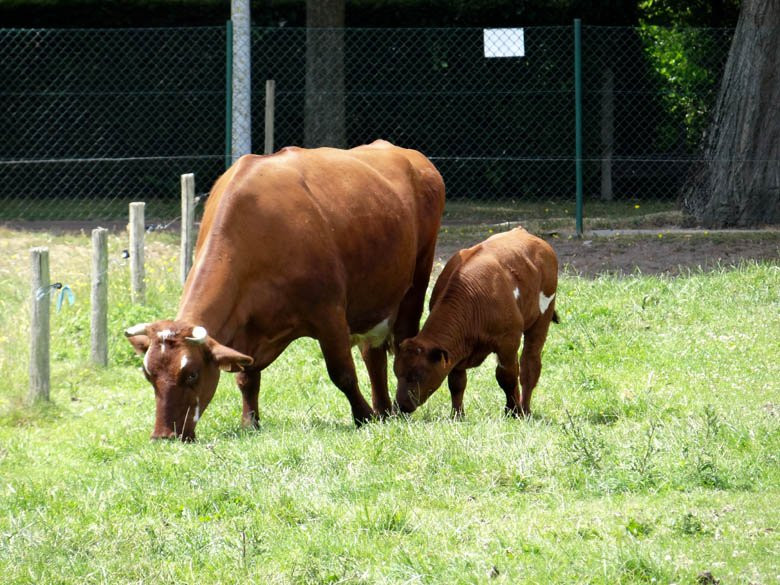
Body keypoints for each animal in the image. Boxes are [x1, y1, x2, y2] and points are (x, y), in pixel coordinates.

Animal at [126, 140, 444, 438]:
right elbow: (246, 377)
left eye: (191, 374)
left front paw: (363, 416)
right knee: (372, 352)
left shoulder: (328, 313)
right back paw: (384, 410)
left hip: (416, 280)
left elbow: (342, 373)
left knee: (402, 341)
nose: (164, 435)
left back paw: (397, 408)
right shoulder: (248, 329)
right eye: (149, 375)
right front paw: (249, 423)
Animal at [396, 227, 556, 416]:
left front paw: (513, 411)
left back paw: (525, 408)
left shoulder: (508, 341)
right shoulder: (455, 350)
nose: (401, 405)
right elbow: (456, 382)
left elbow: (507, 377)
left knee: (529, 364)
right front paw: (457, 415)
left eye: (417, 375)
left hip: (542, 318)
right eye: (396, 372)